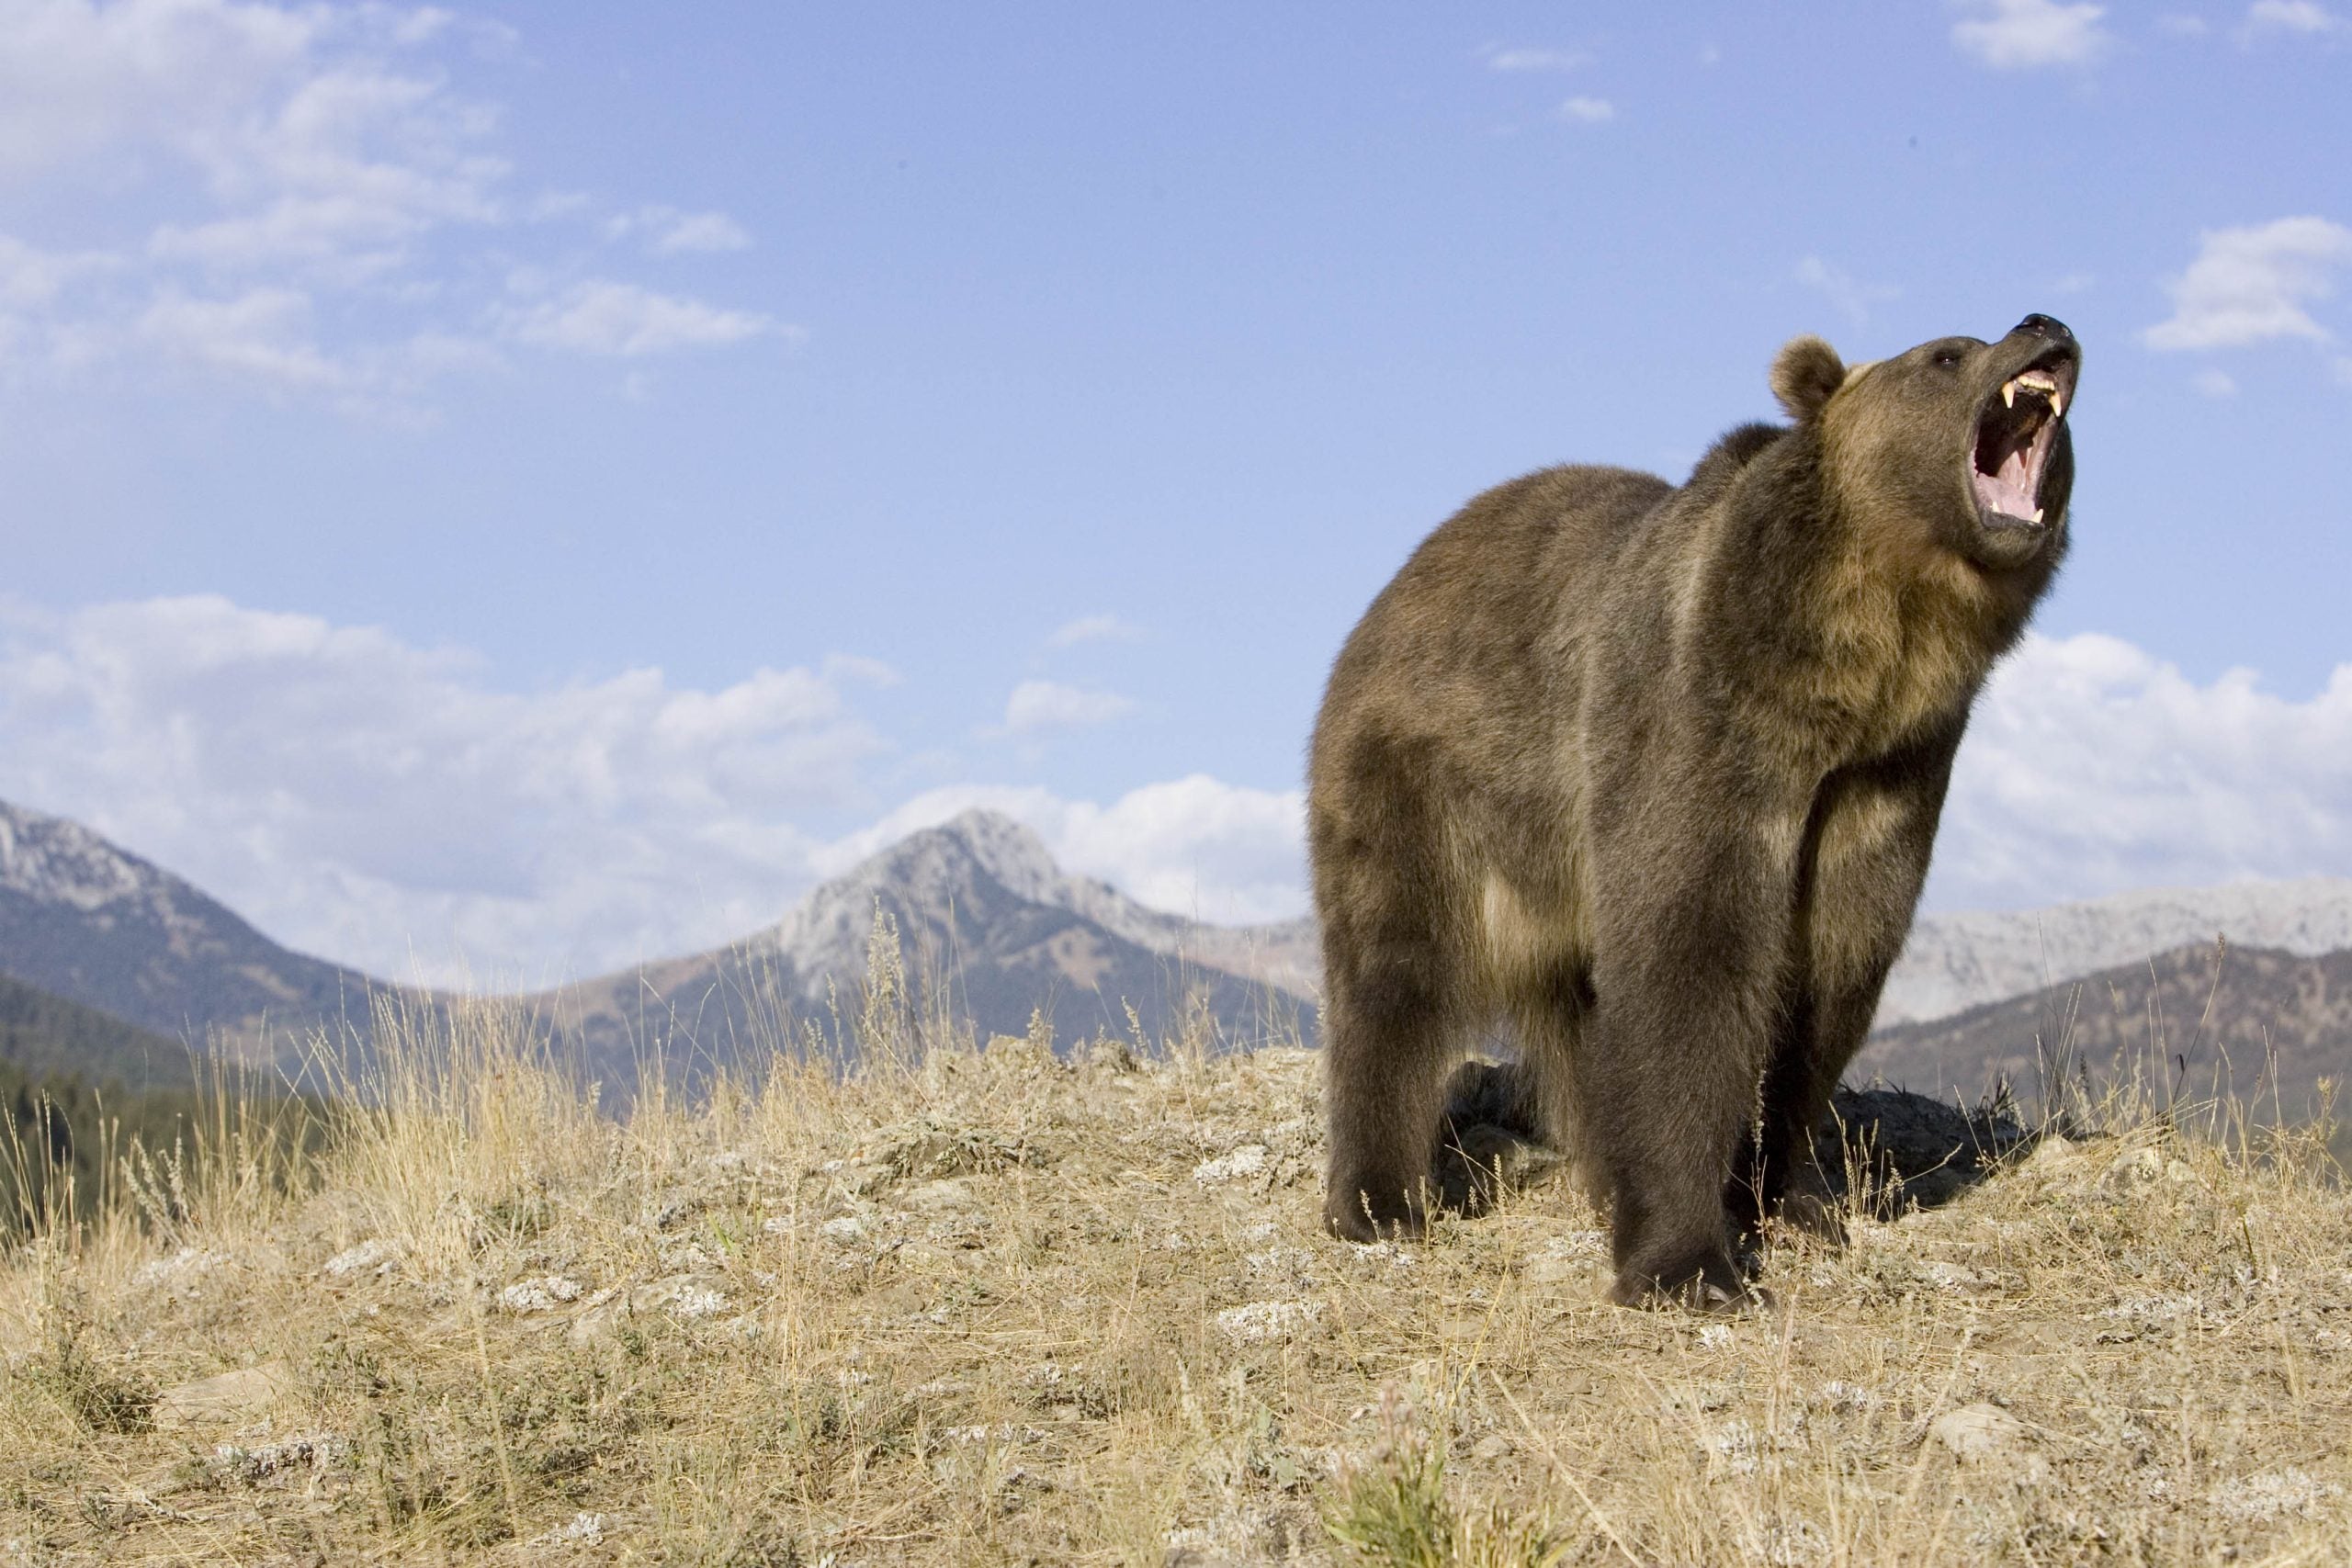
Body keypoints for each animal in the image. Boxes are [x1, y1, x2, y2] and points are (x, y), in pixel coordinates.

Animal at [1309, 315, 2081, 1309]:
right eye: (1947, 353)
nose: (2045, 326)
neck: (1867, 657)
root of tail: (1397, 584)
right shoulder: (1703, 716)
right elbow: (1692, 952)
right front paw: (1689, 1262)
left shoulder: (1889, 774)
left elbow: (1831, 973)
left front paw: (1789, 1197)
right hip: (1424, 773)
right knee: (1394, 971)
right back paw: (1377, 1202)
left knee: (1581, 1013)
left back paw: (1603, 1176)